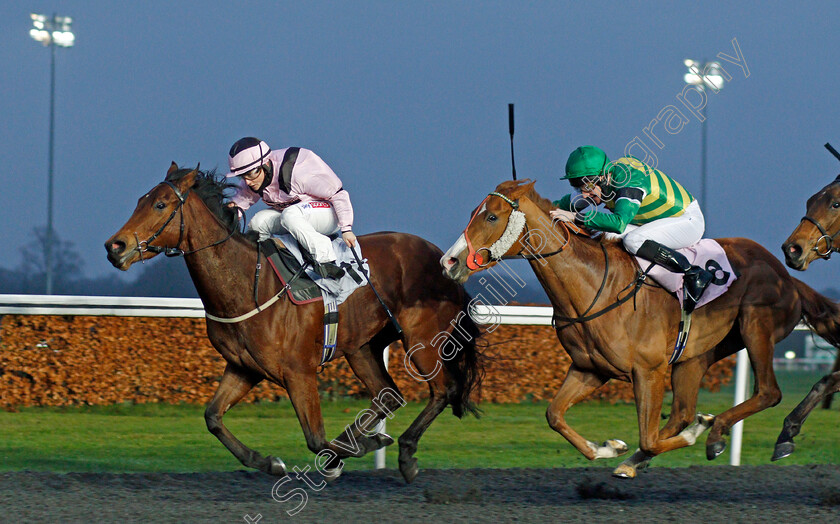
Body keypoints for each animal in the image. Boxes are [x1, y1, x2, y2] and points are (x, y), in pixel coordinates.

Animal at [103, 164, 486, 484]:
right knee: (388, 395)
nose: (114, 246)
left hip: (420, 338)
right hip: (363, 346)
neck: (248, 282)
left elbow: (315, 439)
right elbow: (213, 417)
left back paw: (405, 453)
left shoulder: (299, 371)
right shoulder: (244, 367)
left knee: (443, 390)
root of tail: (445, 260)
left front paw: (347, 453)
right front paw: (270, 462)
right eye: (140, 201)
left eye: (161, 205)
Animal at [440, 178, 840, 476]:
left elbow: (647, 435)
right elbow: (554, 415)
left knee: (768, 392)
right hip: (695, 356)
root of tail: (785, 273)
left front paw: (696, 432)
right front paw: (609, 448)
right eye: (475, 213)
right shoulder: (590, 369)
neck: (594, 286)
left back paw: (719, 433)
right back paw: (646, 455)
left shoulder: (648, 370)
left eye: (492, 217)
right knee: (680, 412)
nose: (450, 261)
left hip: (756, 327)